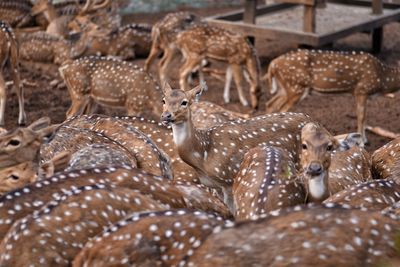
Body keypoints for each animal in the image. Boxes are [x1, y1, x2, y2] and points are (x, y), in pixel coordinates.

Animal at [160, 82, 312, 213]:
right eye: (163, 100)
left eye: (184, 102)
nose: (166, 115)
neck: (203, 155)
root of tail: (312, 120)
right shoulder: (215, 186)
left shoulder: (228, 179)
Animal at [262, 49, 400, 143]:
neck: (383, 78)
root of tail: (272, 64)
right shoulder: (361, 90)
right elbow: (361, 116)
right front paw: (362, 140)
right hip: (295, 86)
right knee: (281, 108)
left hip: (284, 88)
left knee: (270, 104)